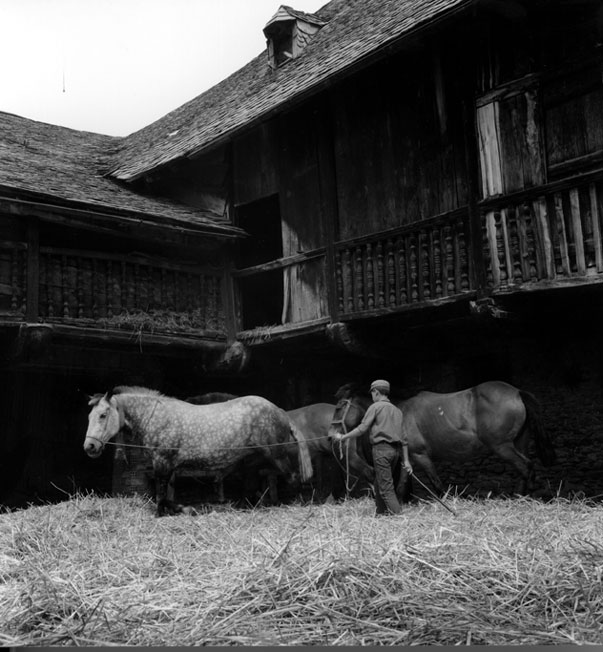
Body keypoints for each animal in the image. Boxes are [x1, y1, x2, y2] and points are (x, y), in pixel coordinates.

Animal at [330, 380, 556, 496]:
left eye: (340, 406)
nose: (332, 435)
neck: (398, 413)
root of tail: (516, 392)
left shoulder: (421, 456)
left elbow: (437, 484)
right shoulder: (409, 459)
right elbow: (402, 485)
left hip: (502, 447)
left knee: (526, 468)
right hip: (518, 443)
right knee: (525, 469)